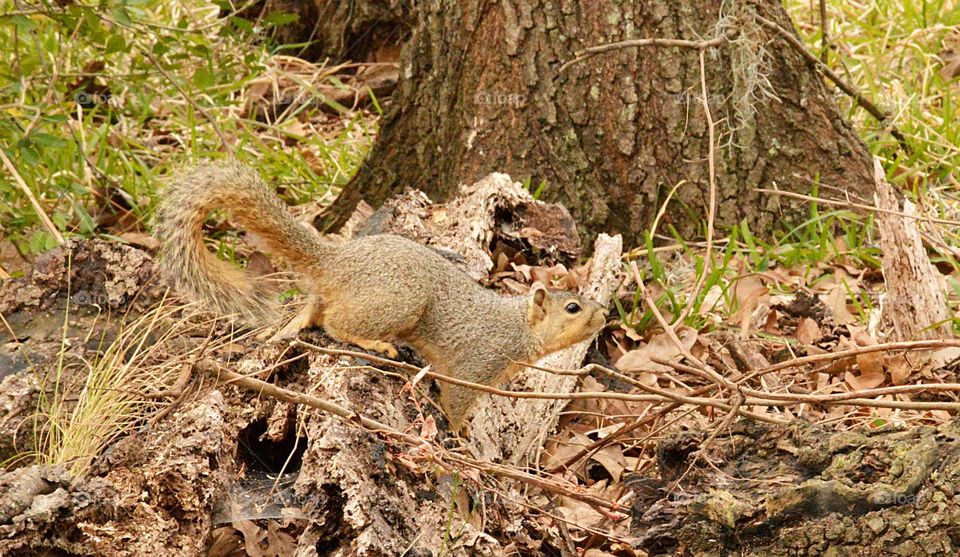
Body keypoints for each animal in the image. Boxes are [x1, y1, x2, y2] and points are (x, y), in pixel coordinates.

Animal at [155, 159, 607, 431]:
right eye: (572, 307)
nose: (604, 317)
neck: (518, 326)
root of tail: (337, 260)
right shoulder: (477, 363)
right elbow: (457, 401)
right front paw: (460, 435)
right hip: (400, 301)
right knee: (336, 323)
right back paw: (375, 344)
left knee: (316, 309)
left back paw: (293, 325)